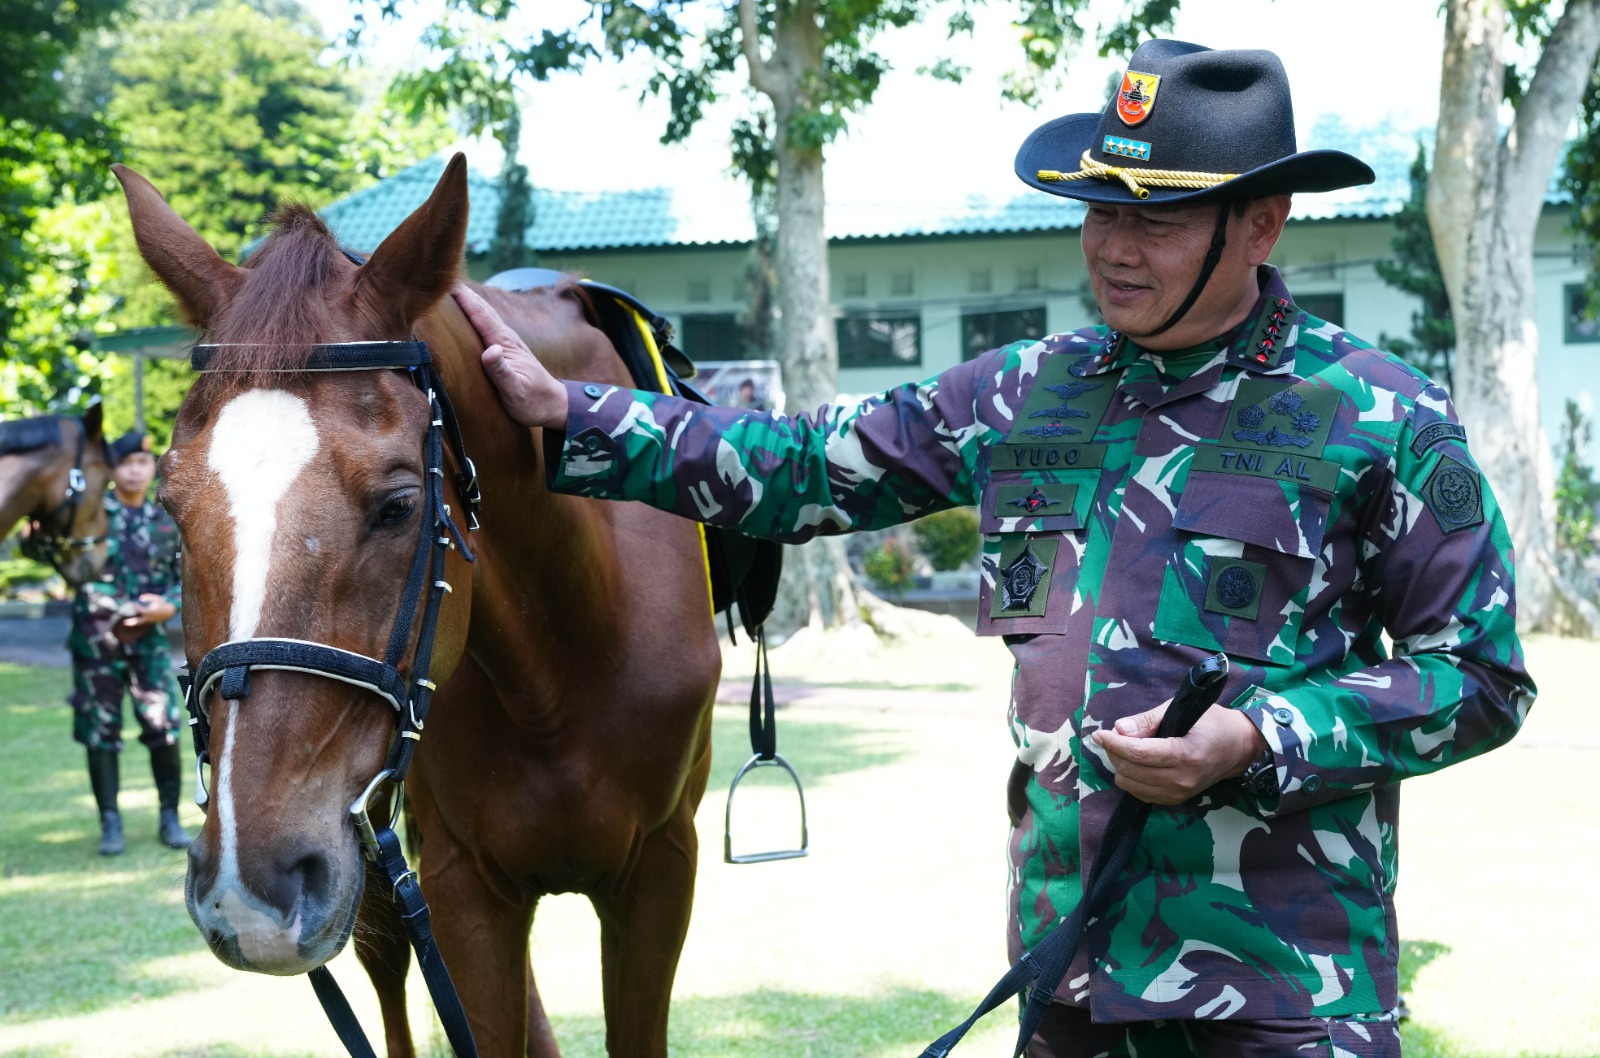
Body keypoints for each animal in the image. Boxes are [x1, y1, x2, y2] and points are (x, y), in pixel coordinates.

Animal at [120, 150, 726, 1056]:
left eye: (400, 506)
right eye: (170, 509)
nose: (247, 889)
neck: (566, 657)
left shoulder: (660, 870)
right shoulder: (456, 883)